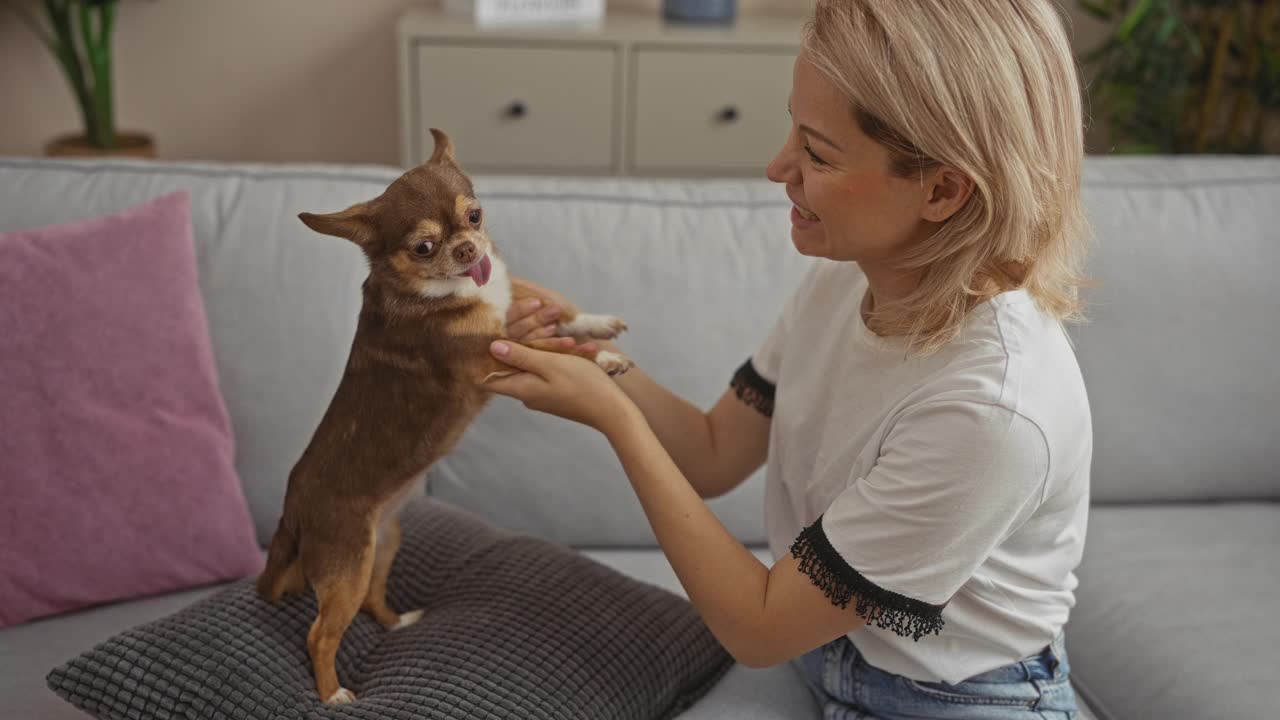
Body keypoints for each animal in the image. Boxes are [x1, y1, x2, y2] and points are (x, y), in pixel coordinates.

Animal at [256, 127, 629, 702]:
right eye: (423, 247)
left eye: (474, 215)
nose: (469, 248)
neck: (453, 290)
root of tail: (292, 508)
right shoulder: (492, 352)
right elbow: (552, 349)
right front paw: (600, 360)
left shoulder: (513, 299)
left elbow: (558, 313)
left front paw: (596, 322)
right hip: (345, 566)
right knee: (320, 634)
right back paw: (332, 694)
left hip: (382, 546)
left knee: (372, 599)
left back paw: (398, 623)